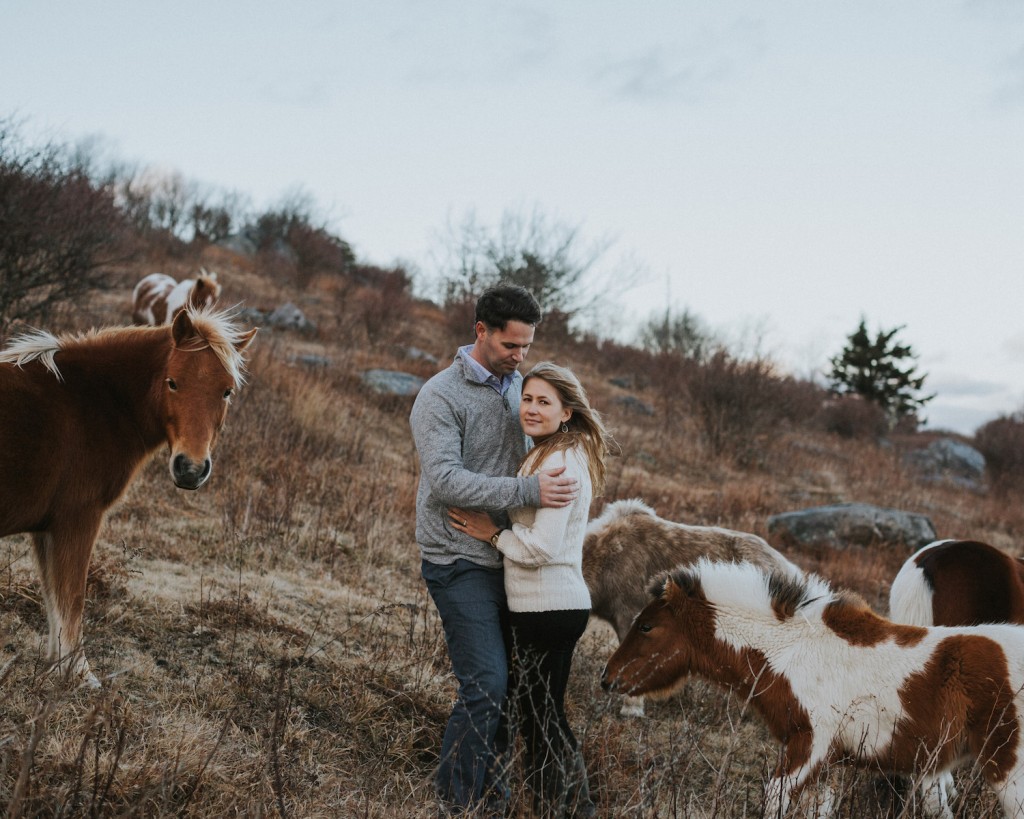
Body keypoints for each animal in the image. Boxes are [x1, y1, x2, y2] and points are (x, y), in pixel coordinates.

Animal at [0, 305, 256, 683]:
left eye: (226, 391)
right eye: (172, 382)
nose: (190, 469)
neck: (88, 401)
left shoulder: (45, 530)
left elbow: (53, 596)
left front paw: (55, 664)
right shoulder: (77, 521)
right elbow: (71, 597)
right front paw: (79, 674)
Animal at [602, 565, 1024, 818]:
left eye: (646, 627)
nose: (608, 679)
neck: (791, 649)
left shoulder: (810, 745)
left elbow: (774, 796)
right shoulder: (828, 764)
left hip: (1008, 769)